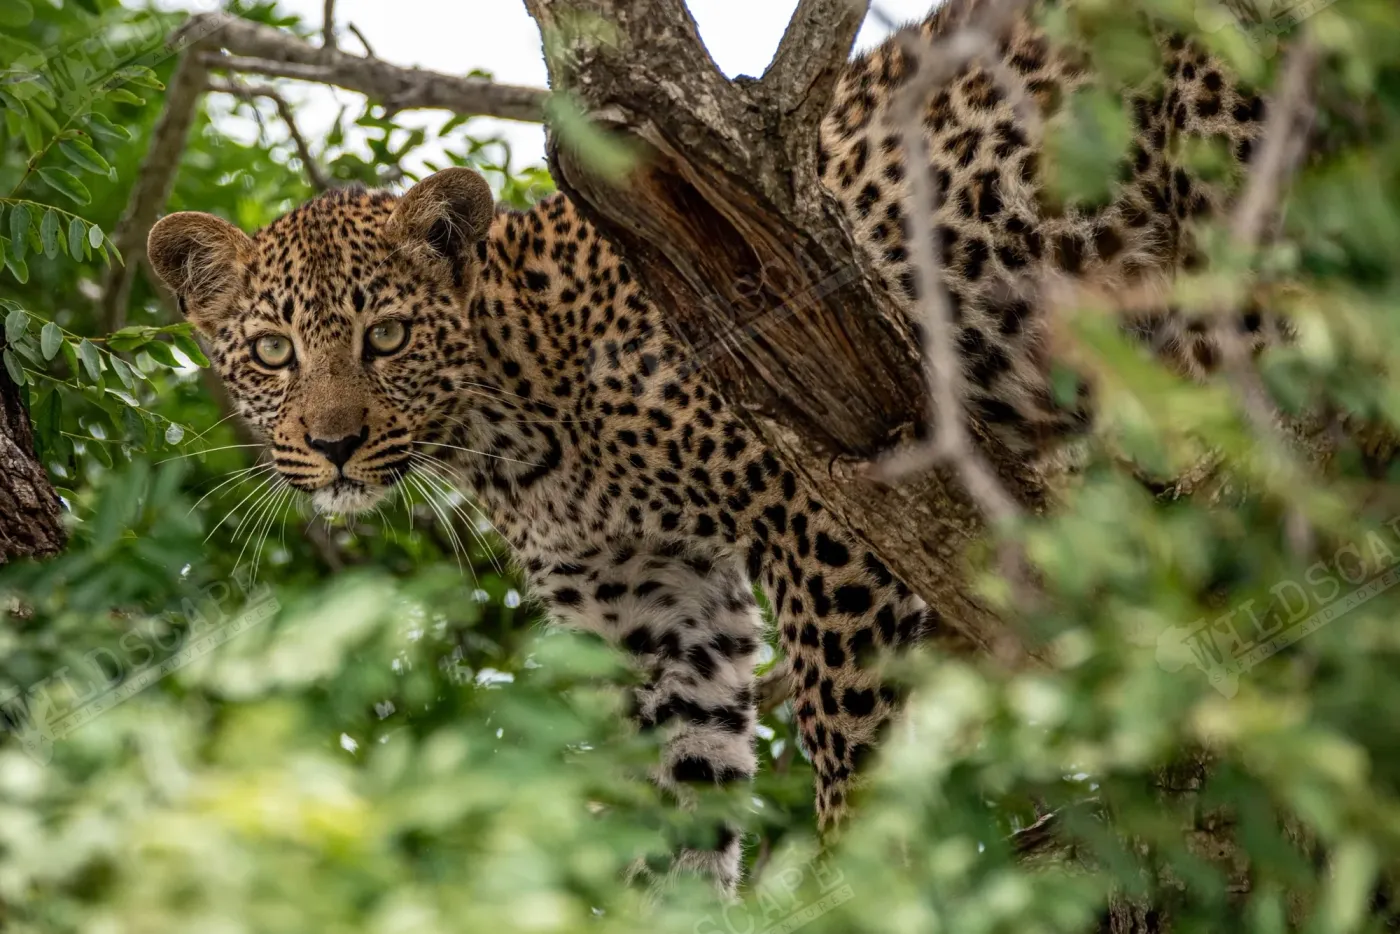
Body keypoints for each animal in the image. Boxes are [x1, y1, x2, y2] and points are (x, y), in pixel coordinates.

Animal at [146, 0, 1280, 895]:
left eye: (384, 338)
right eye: (272, 351)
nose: (333, 445)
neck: (508, 430)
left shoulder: (827, 508)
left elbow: (847, 729)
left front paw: (862, 872)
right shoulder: (652, 607)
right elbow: (678, 786)